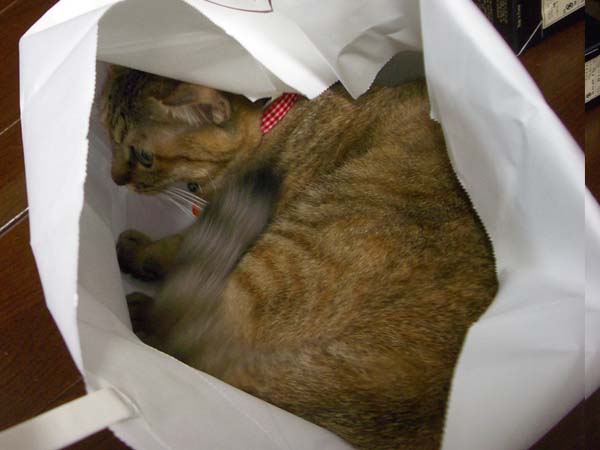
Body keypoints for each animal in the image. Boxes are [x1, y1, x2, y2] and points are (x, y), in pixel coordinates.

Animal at [101, 66, 498, 450]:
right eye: (107, 135)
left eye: (144, 156)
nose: (114, 178)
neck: (273, 125)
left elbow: (175, 245)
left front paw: (137, 251)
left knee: (183, 332)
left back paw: (141, 312)